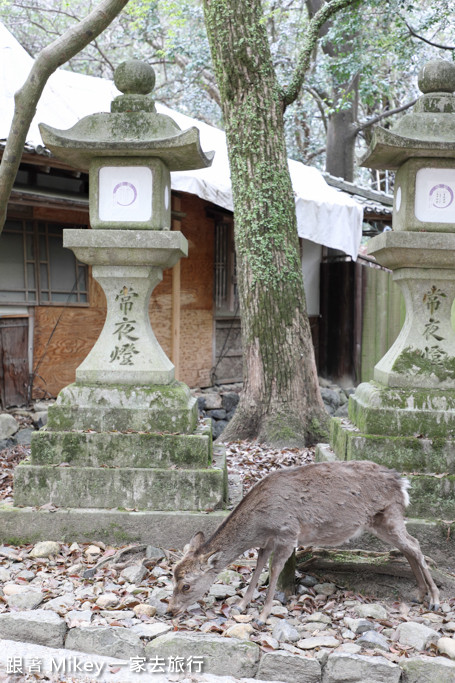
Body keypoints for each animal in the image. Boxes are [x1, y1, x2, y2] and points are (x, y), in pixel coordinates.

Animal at [168, 460, 442, 624]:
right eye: (172, 576)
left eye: (186, 586)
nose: (169, 610)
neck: (260, 524)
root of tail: (403, 483)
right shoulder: (267, 541)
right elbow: (257, 569)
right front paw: (241, 605)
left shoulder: (288, 533)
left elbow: (274, 570)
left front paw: (263, 615)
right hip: (380, 522)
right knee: (407, 547)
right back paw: (419, 594)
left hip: (390, 514)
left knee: (415, 545)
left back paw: (435, 600)